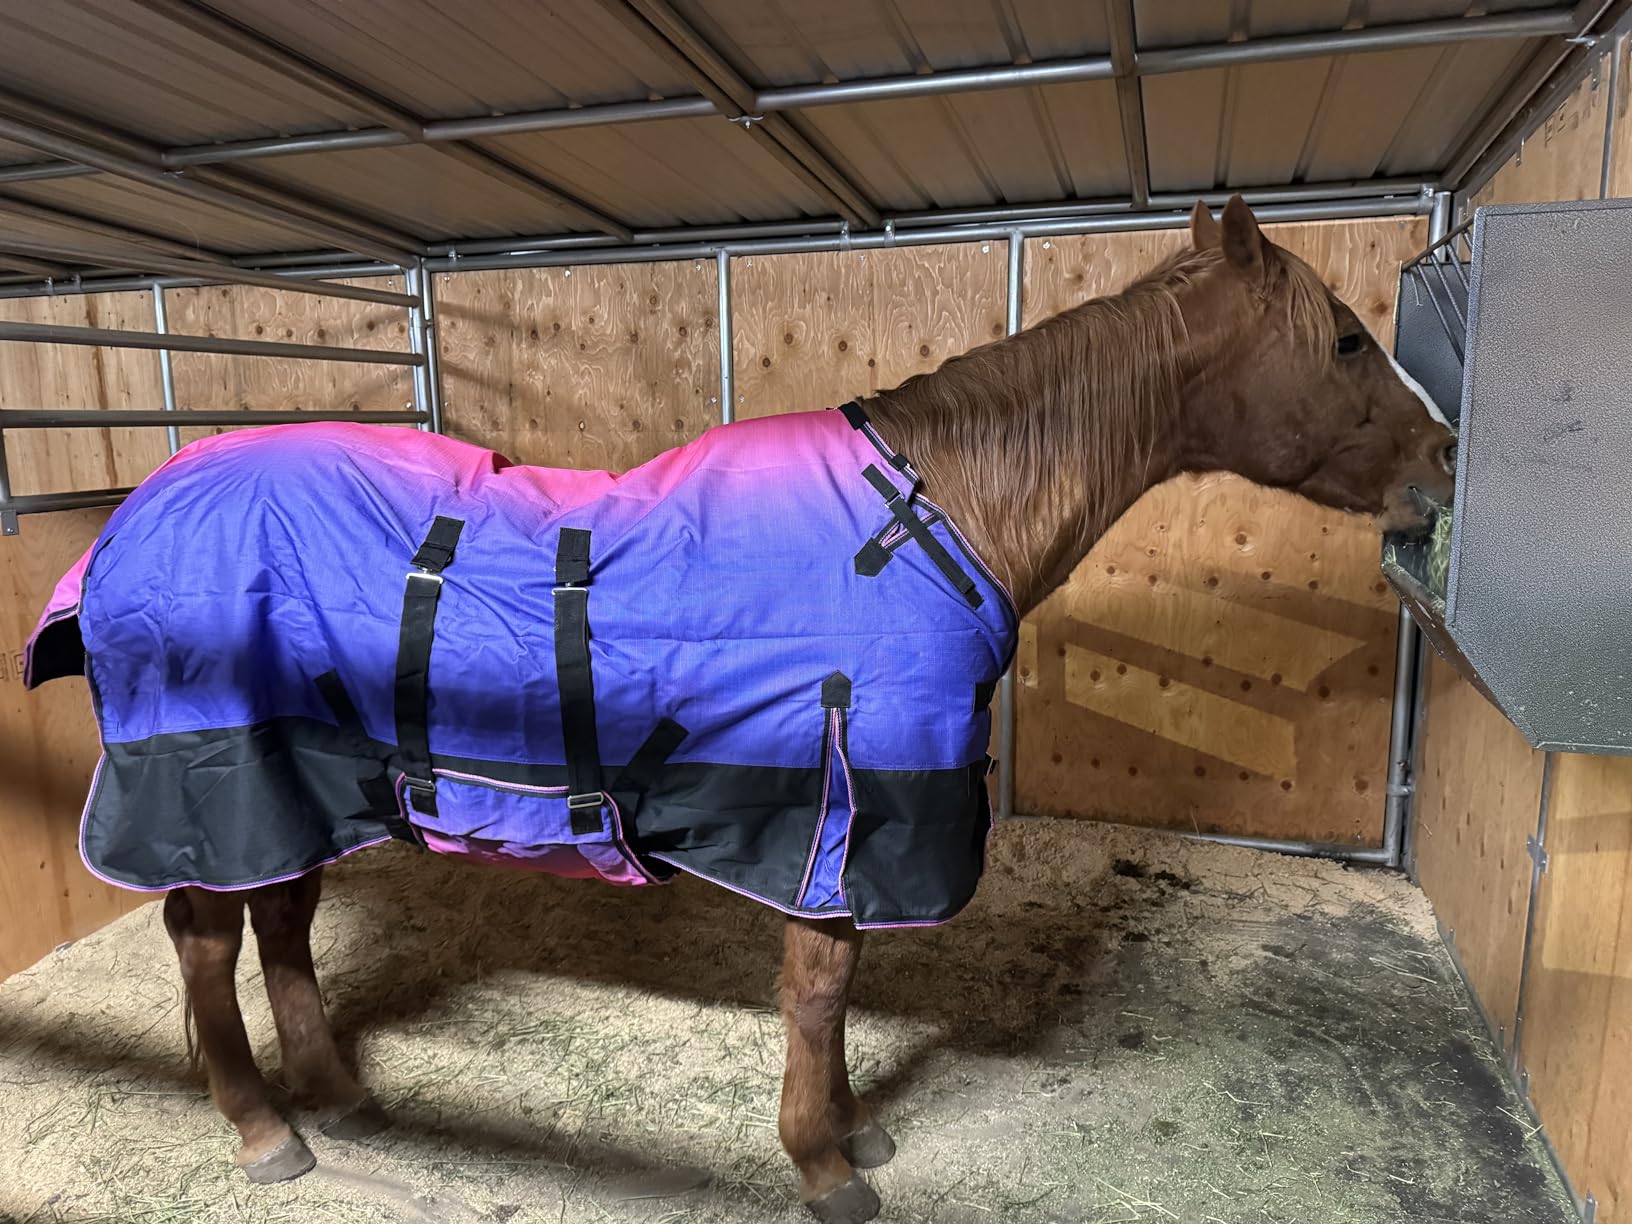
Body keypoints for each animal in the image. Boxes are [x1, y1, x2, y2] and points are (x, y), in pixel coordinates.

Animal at [22, 197, 1454, 1224]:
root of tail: (135, 517)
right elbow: (820, 996)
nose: (1444, 462)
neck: (930, 517)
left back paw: (338, 1093)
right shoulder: (839, 812)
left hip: (300, 790)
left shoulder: (844, 826)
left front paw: (855, 1131)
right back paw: (265, 1128)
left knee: (280, 927)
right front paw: (827, 1163)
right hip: (212, 785)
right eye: (1343, 337)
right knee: (208, 944)